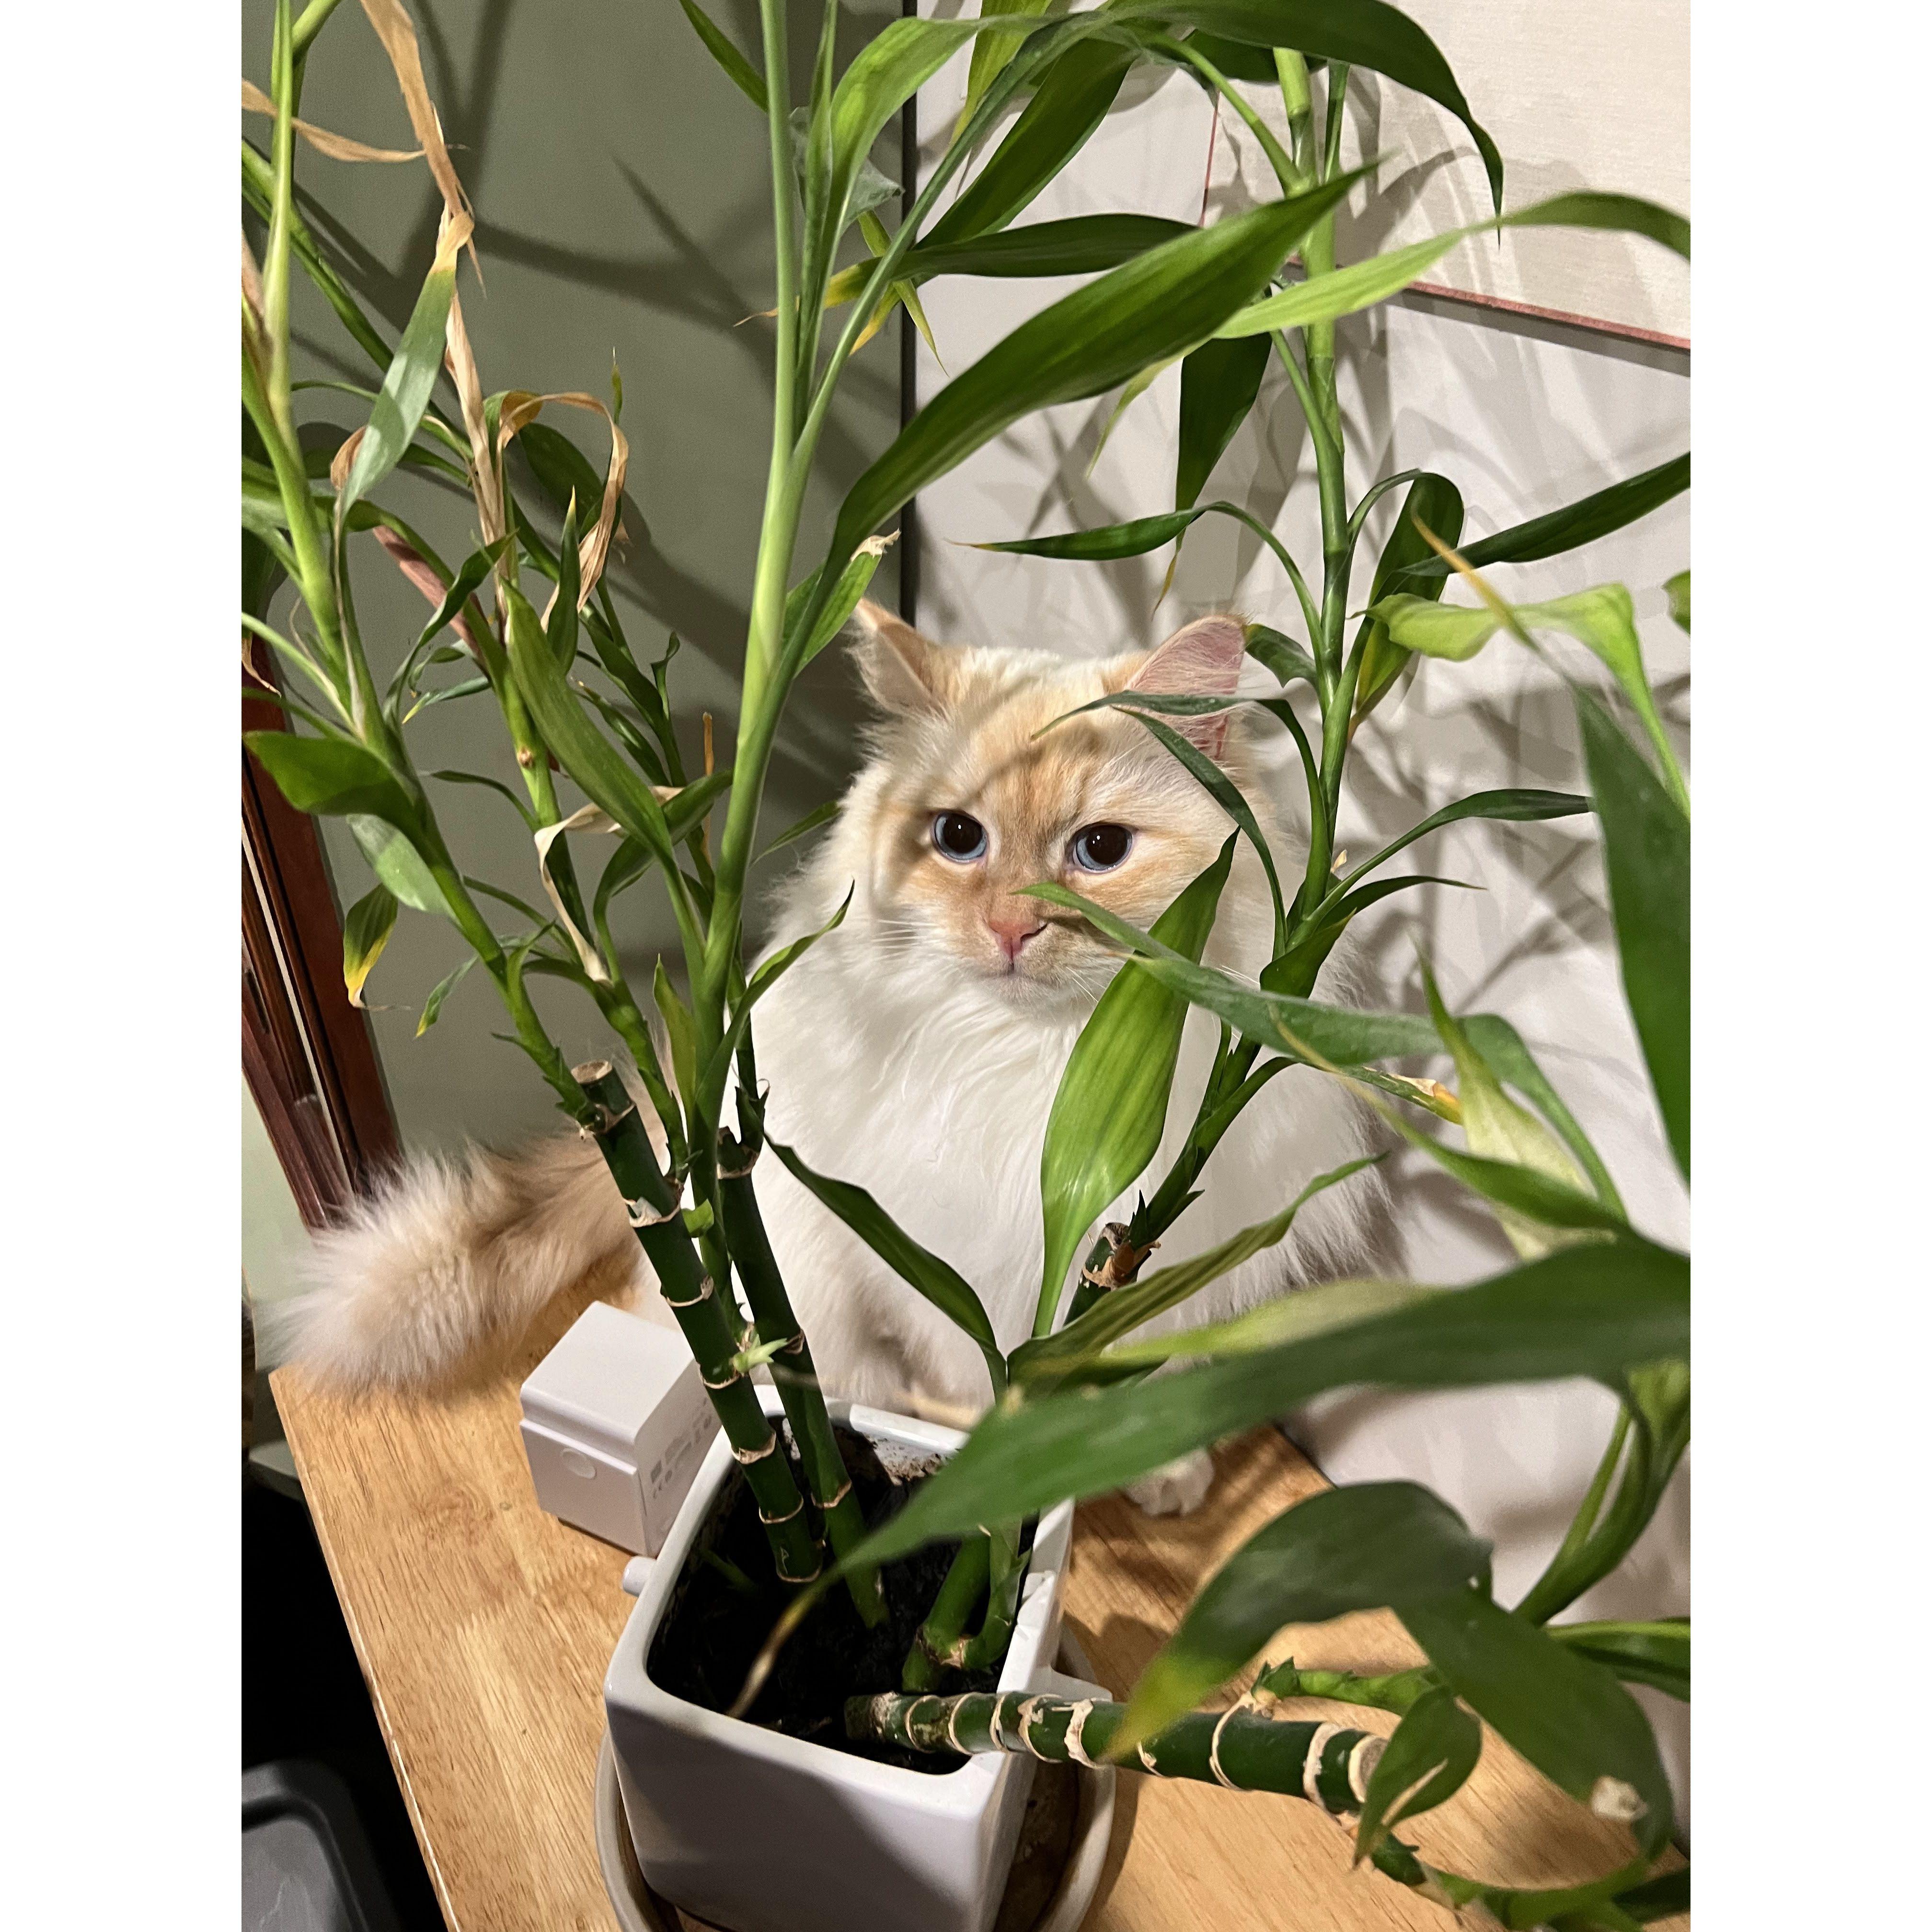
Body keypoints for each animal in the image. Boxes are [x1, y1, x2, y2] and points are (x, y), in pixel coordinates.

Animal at [283, 604, 1385, 1513]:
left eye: (1102, 851)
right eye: (958, 837)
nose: (1011, 929)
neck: (1060, 1078)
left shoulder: (1147, 1256)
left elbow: (1134, 1382)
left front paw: (1153, 1471)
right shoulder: (930, 1263)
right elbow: (973, 1378)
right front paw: (998, 1467)